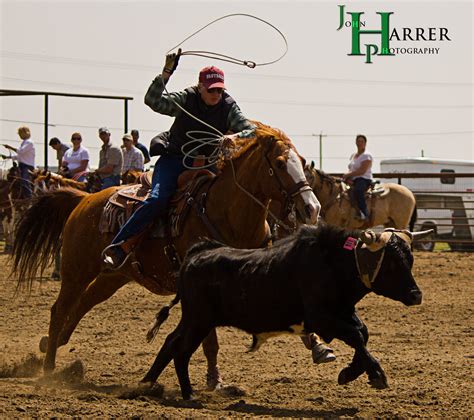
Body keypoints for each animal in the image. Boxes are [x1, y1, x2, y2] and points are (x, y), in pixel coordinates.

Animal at [12, 123, 322, 388]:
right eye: (280, 164)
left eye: (302, 161)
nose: (312, 208)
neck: (225, 214)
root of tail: (85, 199)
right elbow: (209, 341)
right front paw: (215, 380)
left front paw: (318, 346)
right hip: (76, 270)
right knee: (60, 309)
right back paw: (49, 367)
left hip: (114, 276)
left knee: (84, 302)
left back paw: (51, 347)